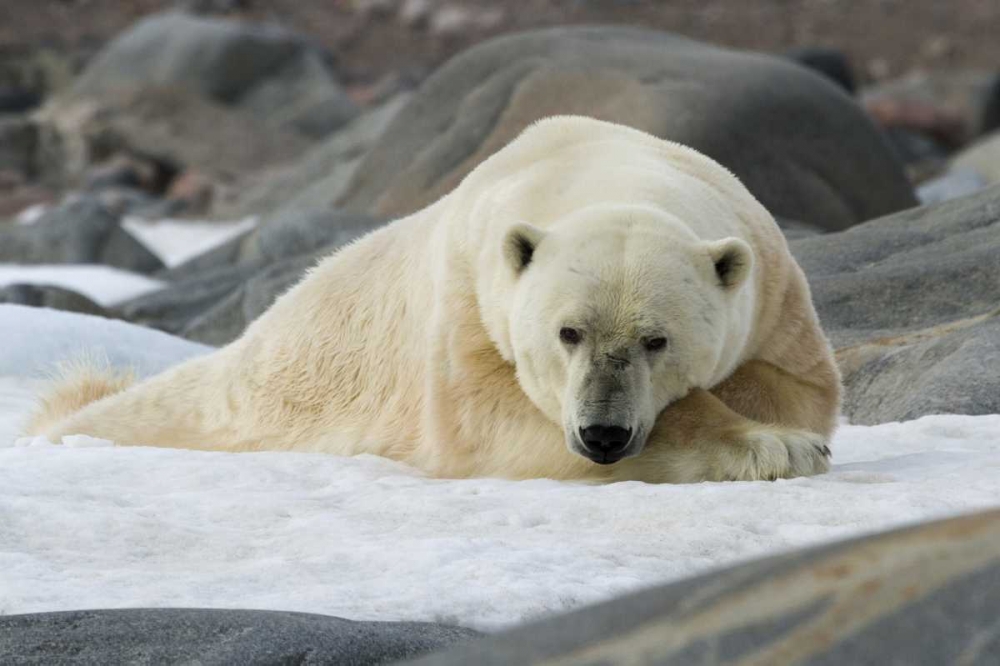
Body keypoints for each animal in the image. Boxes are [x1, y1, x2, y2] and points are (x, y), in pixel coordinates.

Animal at [31, 114, 840, 480]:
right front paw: (774, 446)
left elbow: (798, 385)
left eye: (656, 340)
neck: (603, 164)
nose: (602, 435)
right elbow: (494, 422)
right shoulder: (470, 303)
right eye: (567, 333)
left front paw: (782, 430)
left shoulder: (770, 280)